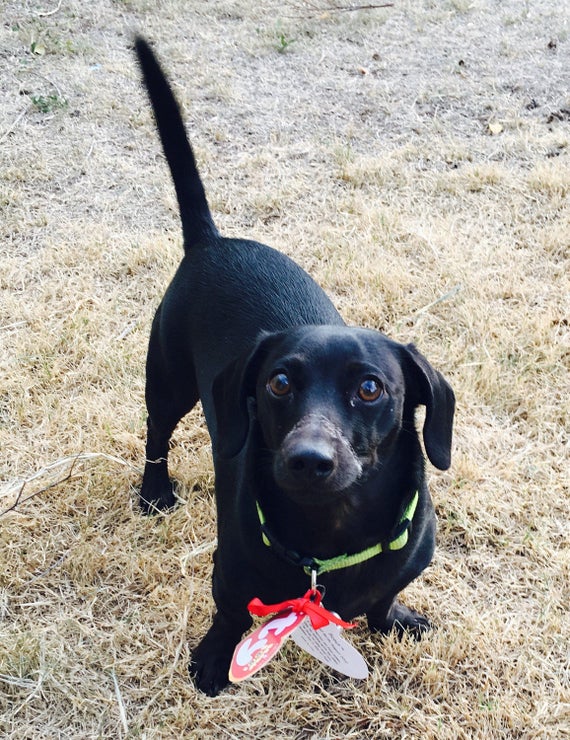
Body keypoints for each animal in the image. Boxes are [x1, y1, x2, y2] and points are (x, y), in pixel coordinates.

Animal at [133, 39, 452, 700]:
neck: (329, 531)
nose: (309, 459)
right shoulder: (231, 569)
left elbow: (384, 596)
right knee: (155, 433)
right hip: (167, 382)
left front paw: (394, 619)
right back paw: (154, 491)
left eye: (370, 387)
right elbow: (230, 611)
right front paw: (214, 659)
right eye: (278, 382)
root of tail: (212, 241)